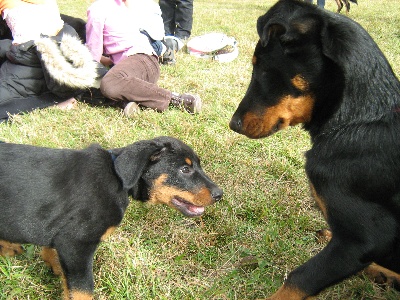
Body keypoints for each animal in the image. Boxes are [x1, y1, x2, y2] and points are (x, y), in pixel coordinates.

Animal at [0, 137, 222, 300]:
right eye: (185, 169)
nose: (220, 194)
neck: (118, 179)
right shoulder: (76, 244)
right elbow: (82, 291)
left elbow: (51, 251)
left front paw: (54, 266)